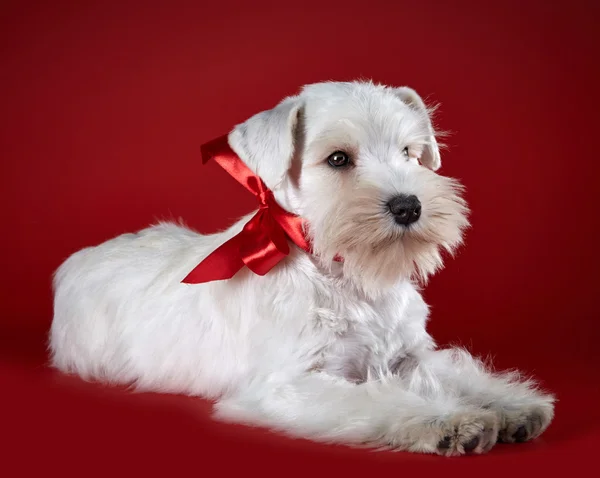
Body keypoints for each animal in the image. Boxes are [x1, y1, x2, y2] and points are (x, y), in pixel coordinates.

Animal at [49, 81, 556, 456]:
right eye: (338, 159)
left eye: (410, 153)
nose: (409, 206)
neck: (349, 277)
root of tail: (82, 257)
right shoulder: (291, 384)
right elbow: (380, 398)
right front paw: (451, 419)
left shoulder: (408, 356)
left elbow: (452, 371)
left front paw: (510, 403)